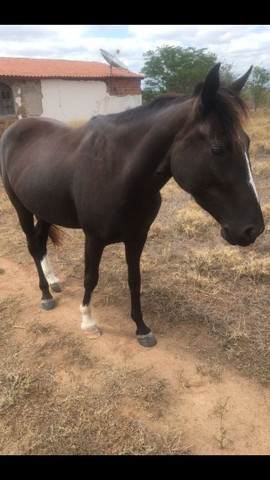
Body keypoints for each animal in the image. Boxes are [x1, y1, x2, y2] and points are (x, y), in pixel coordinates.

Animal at [0, 64, 264, 344]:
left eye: (247, 143)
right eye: (217, 149)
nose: (253, 229)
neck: (118, 171)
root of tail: (14, 129)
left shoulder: (137, 237)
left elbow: (134, 279)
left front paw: (141, 327)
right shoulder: (94, 238)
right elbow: (90, 278)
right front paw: (88, 321)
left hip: (45, 208)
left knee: (40, 243)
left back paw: (53, 281)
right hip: (21, 208)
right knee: (32, 245)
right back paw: (46, 294)